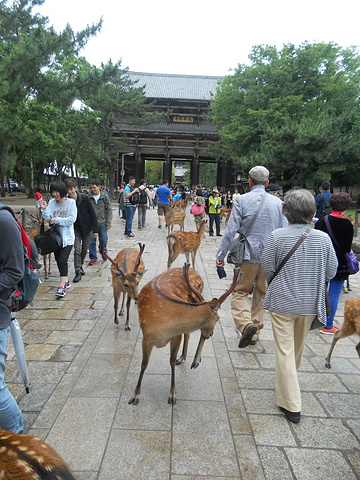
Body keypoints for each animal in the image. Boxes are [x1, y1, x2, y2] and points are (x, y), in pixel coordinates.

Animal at [128, 262, 240, 404]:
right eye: (218, 319)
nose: (211, 334)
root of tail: (194, 270)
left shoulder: (176, 335)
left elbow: (171, 361)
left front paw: (172, 395)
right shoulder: (146, 338)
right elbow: (144, 364)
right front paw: (135, 395)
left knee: (193, 335)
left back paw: (195, 361)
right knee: (190, 333)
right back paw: (184, 357)